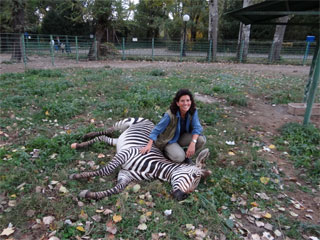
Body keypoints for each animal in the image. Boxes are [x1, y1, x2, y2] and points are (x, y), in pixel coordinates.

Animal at [69, 117, 210, 202]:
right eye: (194, 176)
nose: (181, 197)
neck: (156, 168)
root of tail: (150, 121)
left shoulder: (126, 175)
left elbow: (116, 189)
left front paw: (88, 195)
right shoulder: (127, 153)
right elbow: (105, 170)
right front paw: (76, 176)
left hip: (118, 140)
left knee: (103, 137)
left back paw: (80, 144)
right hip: (124, 123)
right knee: (109, 129)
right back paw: (86, 135)